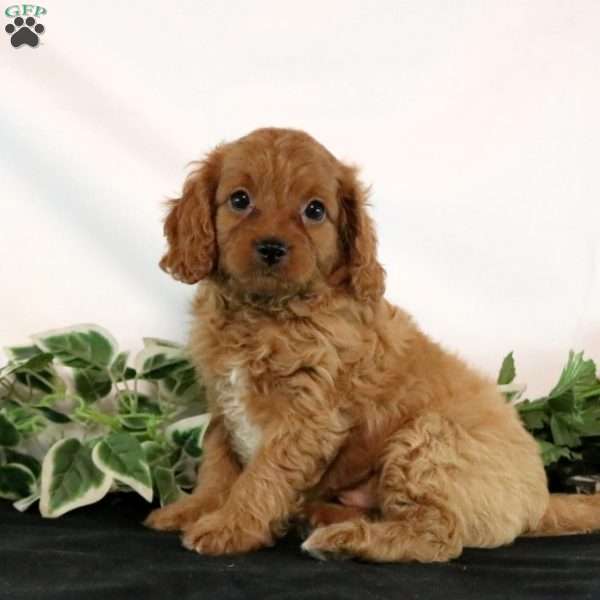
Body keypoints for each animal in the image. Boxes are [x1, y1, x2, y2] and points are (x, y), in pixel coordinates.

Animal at [144, 127, 600, 564]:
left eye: (314, 210)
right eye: (239, 200)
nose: (272, 247)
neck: (265, 313)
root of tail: (538, 500)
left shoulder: (307, 417)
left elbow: (261, 477)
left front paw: (230, 527)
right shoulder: (222, 399)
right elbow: (217, 466)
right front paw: (195, 509)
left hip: (428, 441)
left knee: (438, 536)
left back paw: (342, 540)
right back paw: (317, 517)